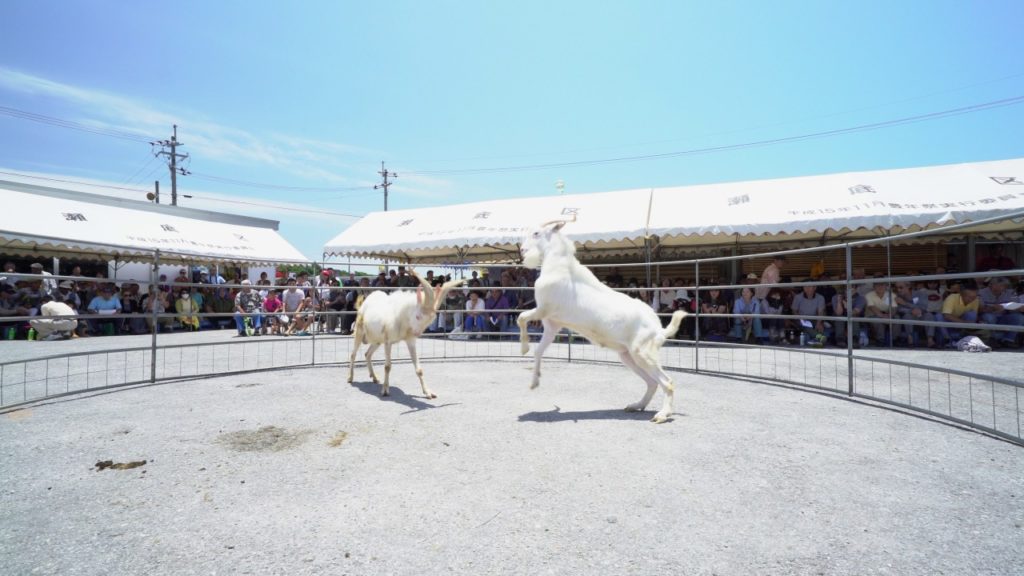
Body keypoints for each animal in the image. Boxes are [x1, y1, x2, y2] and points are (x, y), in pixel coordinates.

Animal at [347, 270, 464, 398]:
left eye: (431, 320)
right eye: (418, 316)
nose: (417, 333)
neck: (402, 318)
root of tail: (364, 304)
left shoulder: (410, 340)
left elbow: (419, 369)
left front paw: (428, 392)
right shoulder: (388, 341)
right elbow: (387, 366)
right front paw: (385, 390)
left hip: (377, 340)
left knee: (367, 354)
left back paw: (374, 378)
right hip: (360, 331)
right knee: (353, 354)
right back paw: (350, 378)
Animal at [517, 219, 687, 423]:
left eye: (536, 233)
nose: (522, 251)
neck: (559, 267)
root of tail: (658, 330)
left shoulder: (544, 310)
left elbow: (521, 317)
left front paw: (523, 349)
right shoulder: (552, 324)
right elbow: (538, 350)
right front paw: (534, 382)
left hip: (644, 353)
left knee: (667, 382)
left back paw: (661, 415)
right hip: (628, 356)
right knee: (652, 382)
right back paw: (635, 406)